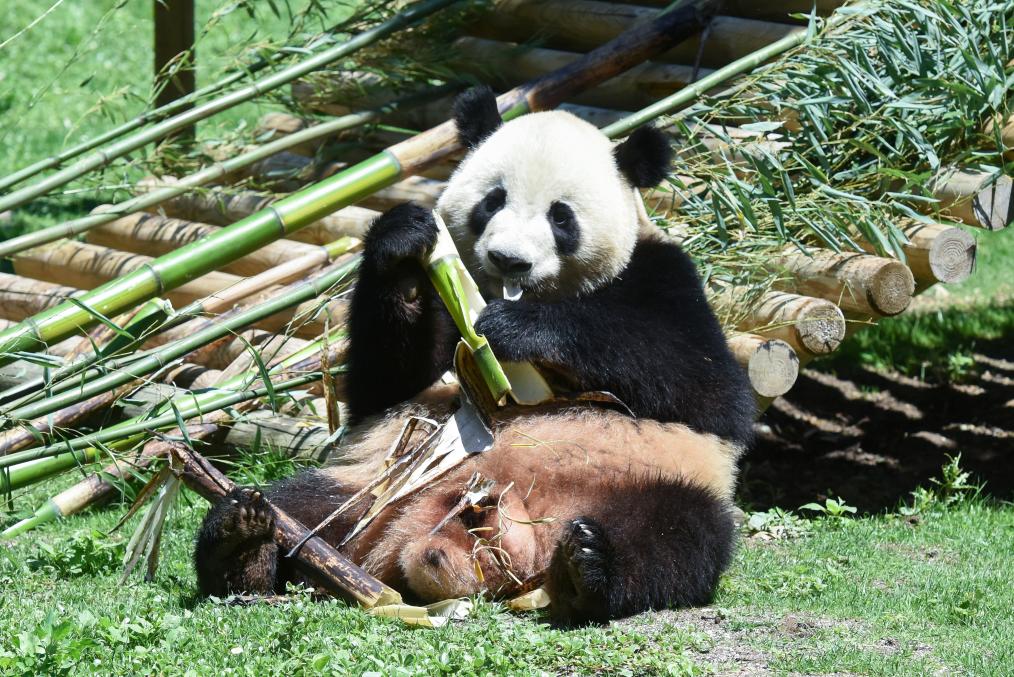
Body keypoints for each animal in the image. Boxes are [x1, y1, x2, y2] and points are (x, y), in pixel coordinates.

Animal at [193, 86, 758, 624]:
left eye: (561, 217)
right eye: (493, 200)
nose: (509, 260)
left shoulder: (664, 276)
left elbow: (707, 387)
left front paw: (517, 330)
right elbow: (385, 383)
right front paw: (404, 246)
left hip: (654, 479)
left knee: (676, 537)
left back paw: (591, 566)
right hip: (372, 485)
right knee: (304, 507)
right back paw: (243, 540)